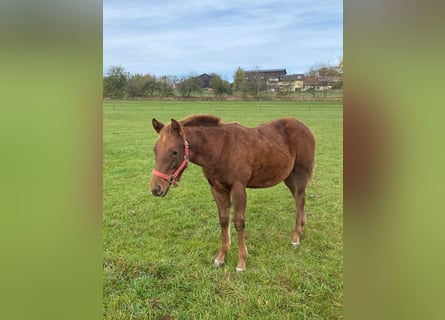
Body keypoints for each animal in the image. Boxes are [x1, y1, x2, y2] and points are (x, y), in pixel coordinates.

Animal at [150, 114, 316, 272]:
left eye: (174, 152)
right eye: (155, 150)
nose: (155, 188)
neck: (220, 148)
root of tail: (306, 128)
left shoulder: (238, 188)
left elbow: (238, 222)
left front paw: (241, 262)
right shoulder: (217, 189)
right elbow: (224, 220)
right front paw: (221, 257)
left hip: (299, 173)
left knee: (299, 200)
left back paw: (296, 238)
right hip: (288, 177)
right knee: (299, 200)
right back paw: (301, 228)